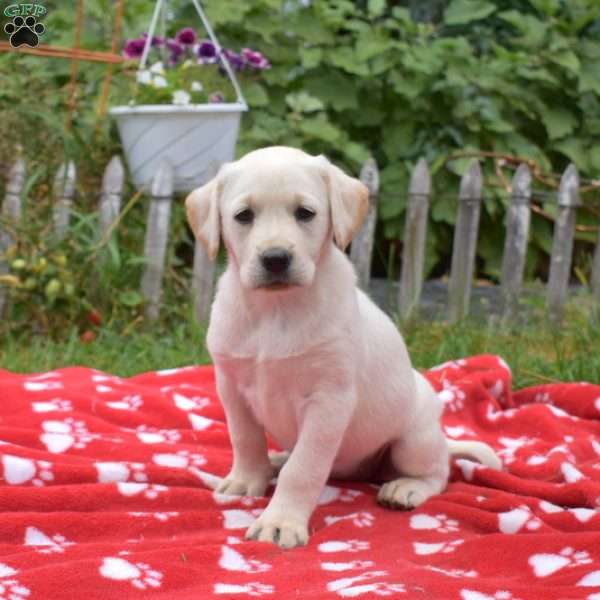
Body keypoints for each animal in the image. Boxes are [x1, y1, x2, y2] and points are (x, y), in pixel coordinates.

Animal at [185, 145, 500, 548]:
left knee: (439, 472)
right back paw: (276, 461)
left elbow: (304, 468)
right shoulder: (231, 389)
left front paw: (281, 522)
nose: (275, 258)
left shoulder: (328, 401)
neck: (276, 310)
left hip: (414, 439)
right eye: (243, 216)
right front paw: (246, 480)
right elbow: (245, 439)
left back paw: (406, 488)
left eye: (305, 213)